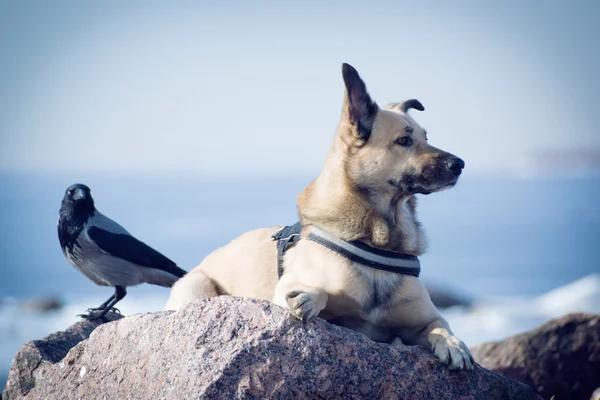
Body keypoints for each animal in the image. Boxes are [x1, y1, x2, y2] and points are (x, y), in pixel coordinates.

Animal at [165, 61, 474, 368]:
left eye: (426, 137)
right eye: (404, 140)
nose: (459, 164)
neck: (375, 241)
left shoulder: (423, 318)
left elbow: (440, 325)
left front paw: (452, 344)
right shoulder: (290, 291)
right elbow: (321, 292)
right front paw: (309, 298)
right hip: (197, 287)